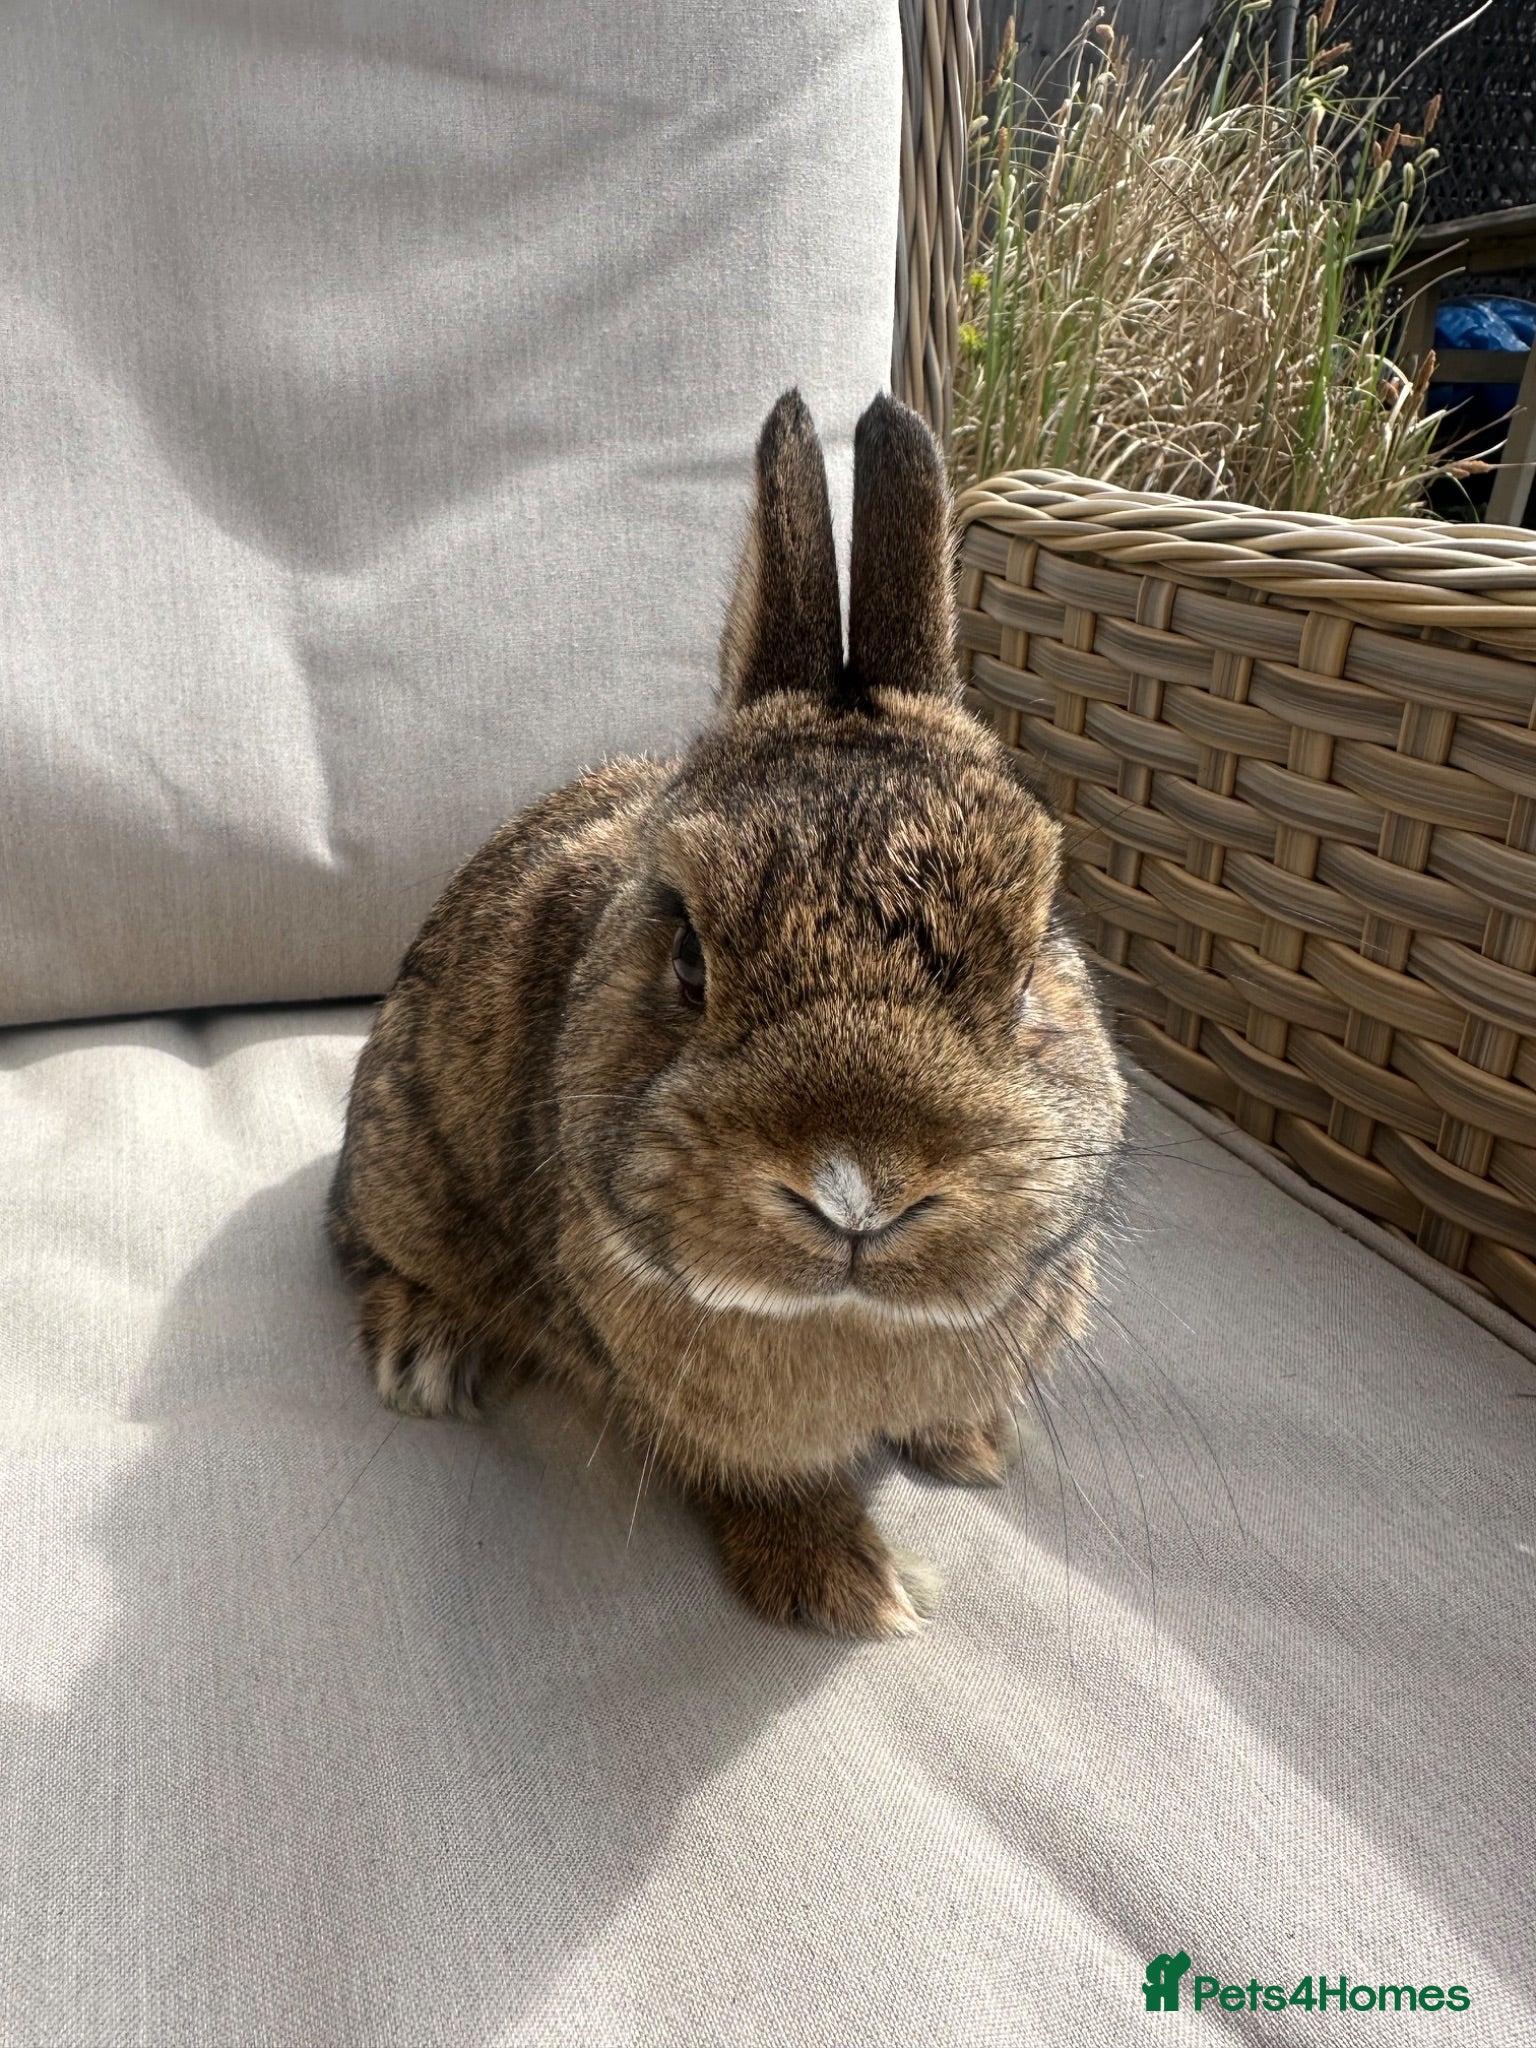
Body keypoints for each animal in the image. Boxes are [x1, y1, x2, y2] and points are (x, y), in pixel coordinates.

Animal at [328, 389, 1127, 1638]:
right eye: (689, 955)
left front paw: (971, 1447)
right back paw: (425, 1353)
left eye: (1030, 964)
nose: (858, 1189)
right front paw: (848, 1584)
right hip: (406, 1159)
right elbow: (756, 1477)